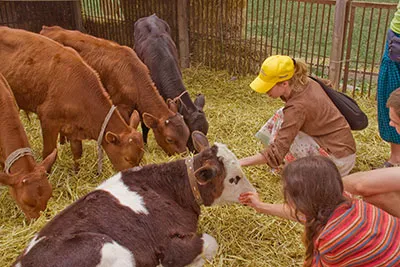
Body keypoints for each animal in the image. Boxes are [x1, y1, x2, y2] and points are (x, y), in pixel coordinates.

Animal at [0, 27, 144, 173]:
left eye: (140, 157)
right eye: (127, 159)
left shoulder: (74, 126)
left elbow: (77, 152)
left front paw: (76, 172)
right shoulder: (48, 120)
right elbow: (49, 153)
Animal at [13, 132, 256, 267]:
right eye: (234, 178)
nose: (253, 194)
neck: (172, 189)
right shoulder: (168, 244)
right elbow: (209, 242)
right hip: (108, 248)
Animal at [39, 26, 190, 156]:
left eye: (187, 133)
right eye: (169, 139)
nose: (183, 155)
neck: (133, 75)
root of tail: (48, 28)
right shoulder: (120, 105)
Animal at [134, 14, 209, 153]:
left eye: (206, 131)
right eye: (190, 132)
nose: (197, 153)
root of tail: (150, 16)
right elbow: (145, 125)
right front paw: (145, 146)